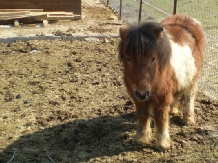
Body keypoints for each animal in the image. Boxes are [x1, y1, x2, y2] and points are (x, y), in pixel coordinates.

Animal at [118, 14, 204, 151]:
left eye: (153, 59)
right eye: (128, 59)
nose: (142, 93)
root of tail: (190, 19)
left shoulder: (162, 97)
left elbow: (161, 117)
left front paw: (163, 144)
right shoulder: (137, 97)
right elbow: (142, 115)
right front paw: (141, 139)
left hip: (193, 78)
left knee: (190, 95)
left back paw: (188, 119)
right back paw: (173, 110)